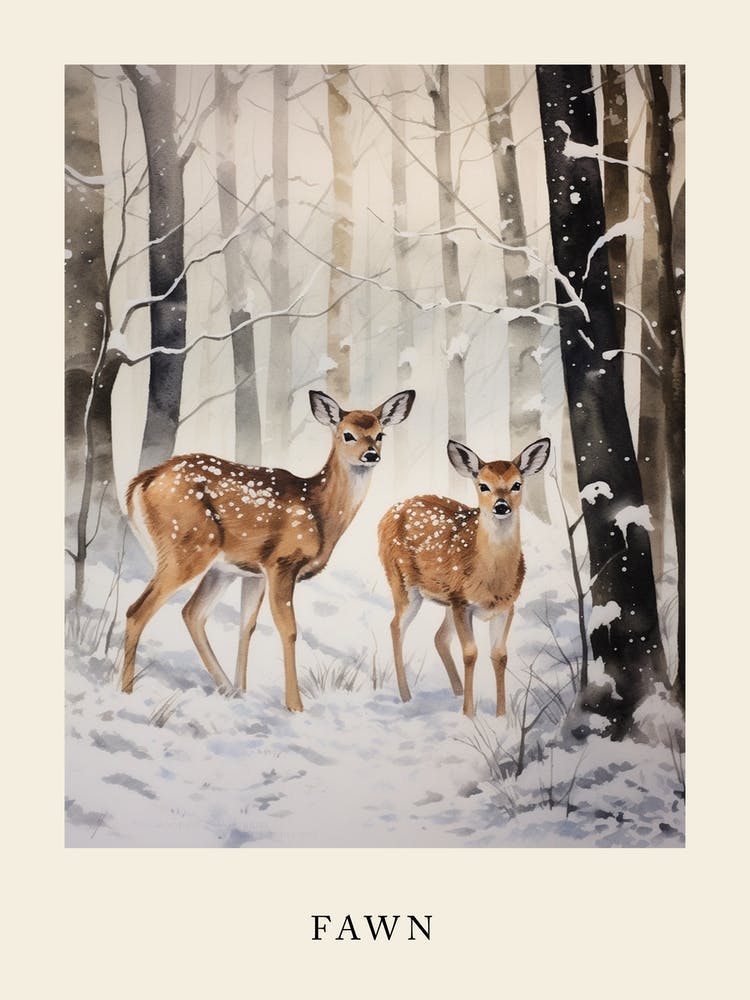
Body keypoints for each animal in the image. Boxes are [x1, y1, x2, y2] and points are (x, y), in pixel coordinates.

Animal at [122, 388, 415, 711]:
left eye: (380, 434)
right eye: (347, 434)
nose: (371, 455)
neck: (319, 512)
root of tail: (140, 483)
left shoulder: (254, 572)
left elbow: (246, 626)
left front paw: (244, 692)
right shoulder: (282, 562)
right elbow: (289, 629)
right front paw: (295, 706)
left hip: (218, 567)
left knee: (192, 613)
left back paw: (226, 689)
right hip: (185, 546)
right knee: (137, 611)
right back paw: (126, 692)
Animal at [378, 436, 550, 717]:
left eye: (517, 484)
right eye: (483, 486)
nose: (501, 506)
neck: (491, 580)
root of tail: (388, 513)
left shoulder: (506, 606)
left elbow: (499, 655)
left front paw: (501, 716)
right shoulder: (462, 602)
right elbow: (470, 653)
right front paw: (469, 714)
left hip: (446, 598)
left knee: (439, 637)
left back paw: (456, 691)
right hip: (402, 581)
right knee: (396, 627)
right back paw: (406, 696)